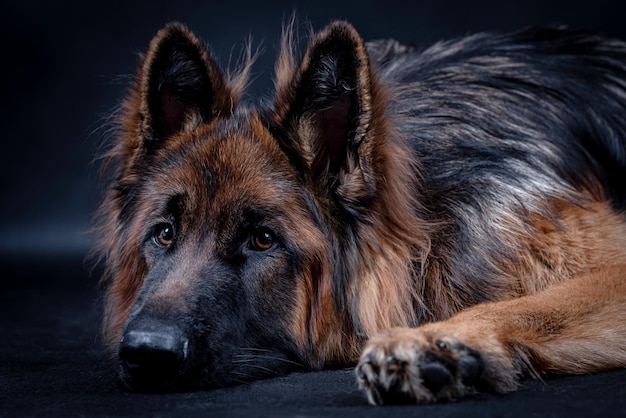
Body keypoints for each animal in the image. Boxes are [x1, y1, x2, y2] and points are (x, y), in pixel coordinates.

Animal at [92, 20, 624, 404]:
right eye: (164, 233)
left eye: (263, 239)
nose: (146, 353)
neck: (430, 214)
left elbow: (530, 304)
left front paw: (439, 341)